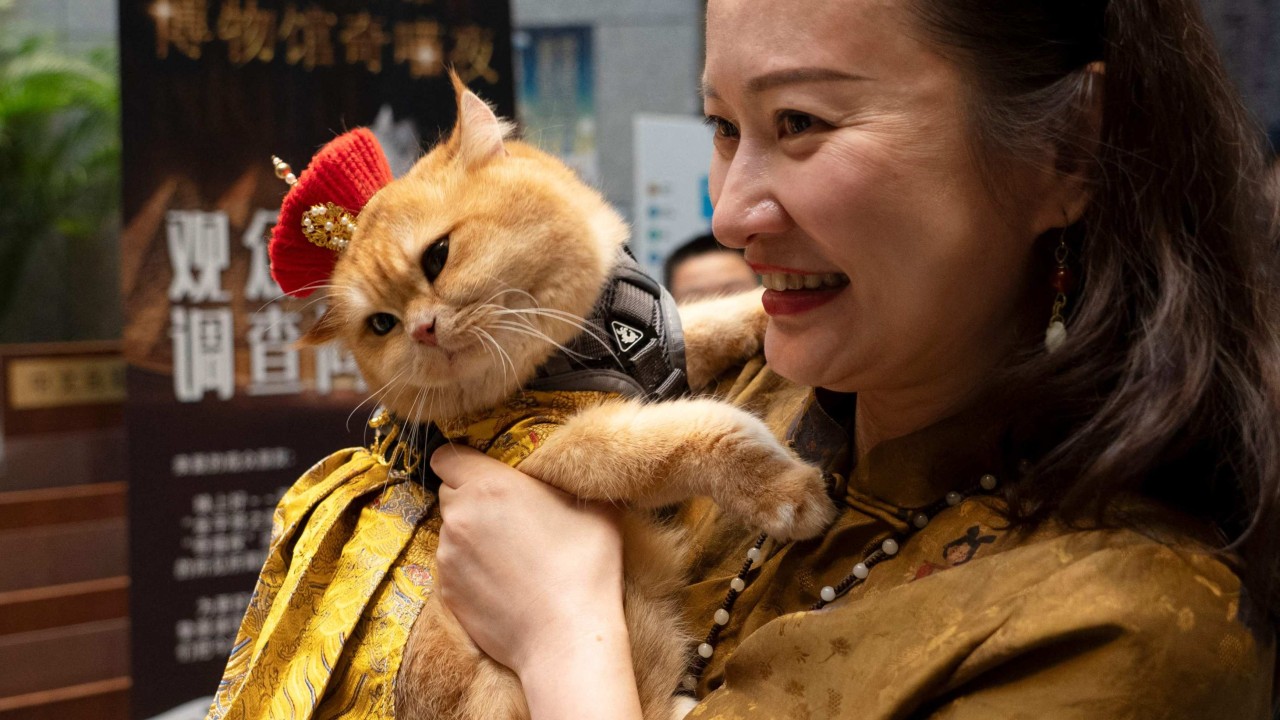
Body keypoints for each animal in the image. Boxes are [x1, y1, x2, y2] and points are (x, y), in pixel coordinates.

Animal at [304, 79, 834, 717]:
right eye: (382, 324)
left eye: (437, 256)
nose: (422, 329)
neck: (583, 341)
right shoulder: (558, 444)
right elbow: (699, 433)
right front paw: (790, 493)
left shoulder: (667, 347)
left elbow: (716, 321)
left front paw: (765, 313)